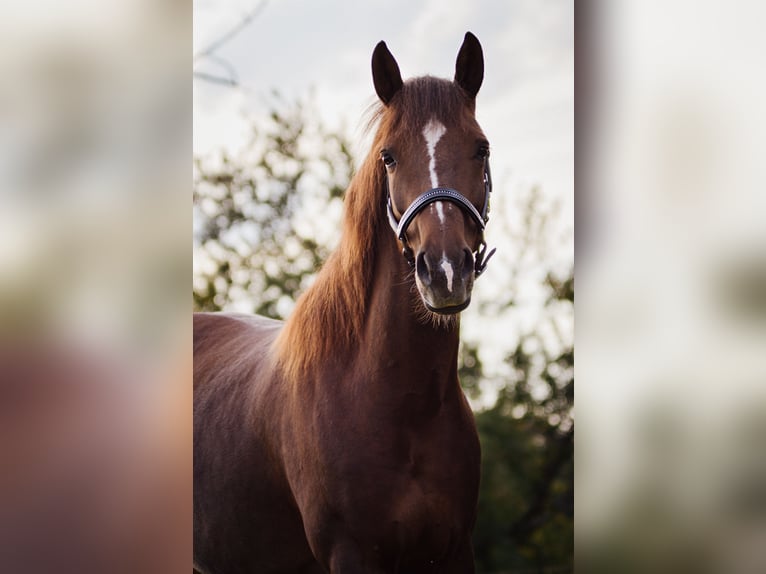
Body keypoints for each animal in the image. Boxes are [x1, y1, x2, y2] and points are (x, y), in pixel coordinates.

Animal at [195, 32, 498, 574]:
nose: (445, 271)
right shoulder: (352, 554)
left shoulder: (455, 551)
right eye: (389, 157)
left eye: (480, 148)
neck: (401, 405)